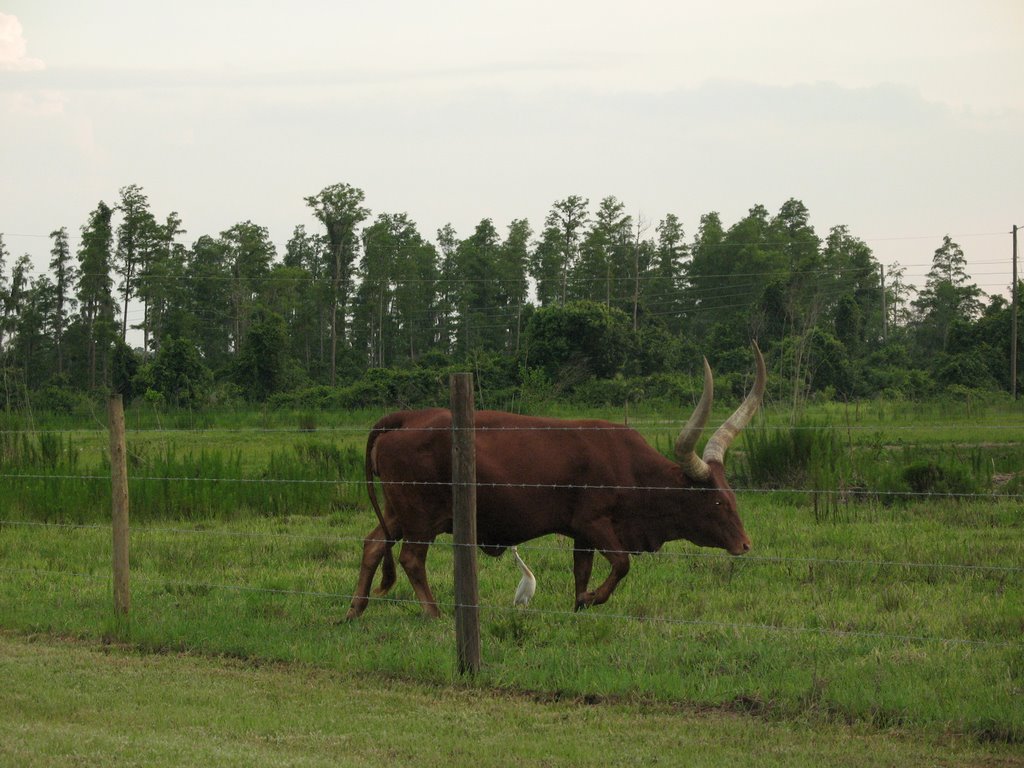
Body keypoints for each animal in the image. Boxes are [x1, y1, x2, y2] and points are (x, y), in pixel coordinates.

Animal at [348, 346, 765, 622]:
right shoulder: (595, 524)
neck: (632, 468)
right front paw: (592, 599)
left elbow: (583, 571)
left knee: (373, 545)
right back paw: (434, 614)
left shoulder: (581, 535)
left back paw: (355, 609)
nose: (746, 544)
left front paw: (580, 605)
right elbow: (622, 565)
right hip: (420, 515)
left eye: (732, 496)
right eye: (716, 502)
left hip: (397, 511)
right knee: (411, 559)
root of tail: (407, 417)